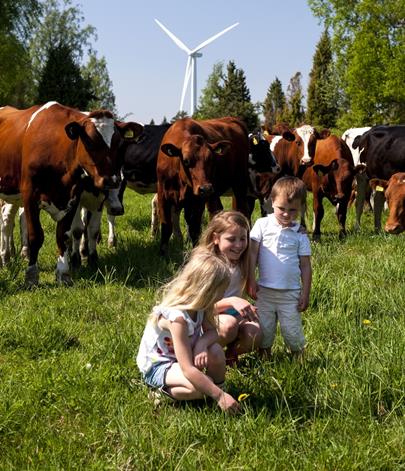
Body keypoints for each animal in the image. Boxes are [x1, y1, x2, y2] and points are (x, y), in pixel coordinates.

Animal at [0, 102, 142, 286]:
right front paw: (31, 276)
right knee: (6, 222)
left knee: (8, 219)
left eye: (118, 145)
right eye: (91, 142)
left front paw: (63, 273)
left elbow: (65, 235)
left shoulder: (74, 198)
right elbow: (35, 236)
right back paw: (6, 257)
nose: (111, 180)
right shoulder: (30, 196)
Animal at [155, 116, 248, 256]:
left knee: (242, 210)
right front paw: (162, 254)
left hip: (239, 183)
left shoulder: (197, 200)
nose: (206, 188)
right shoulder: (163, 195)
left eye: (211, 160)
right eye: (186, 161)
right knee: (216, 210)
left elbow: (194, 228)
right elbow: (166, 226)